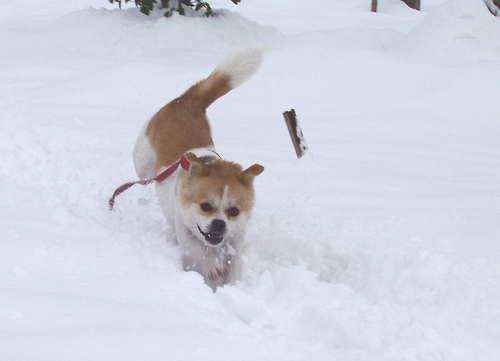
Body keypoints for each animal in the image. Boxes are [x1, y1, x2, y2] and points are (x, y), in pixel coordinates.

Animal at [133, 48, 266, 290]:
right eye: (205, 206)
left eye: (234, 211)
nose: (219, 224)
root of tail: (188, 100)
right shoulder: (183, 227)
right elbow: (195, 250)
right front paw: (210, 266)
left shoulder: (236, 238)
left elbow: (234, 265)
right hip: (142, 160)